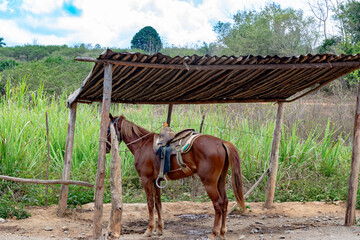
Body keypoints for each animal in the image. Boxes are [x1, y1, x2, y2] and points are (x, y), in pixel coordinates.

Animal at [106, 115, 245, 239]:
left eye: (108, 128)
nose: (107, 148)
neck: (142, 144)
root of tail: (222, 142)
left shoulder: (146, 179)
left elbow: (150, 203)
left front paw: (149, 230)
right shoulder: (156, 180)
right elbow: (158, 203)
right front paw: (159, 229)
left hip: (209, 183)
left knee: (218, 204)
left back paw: (213, 233)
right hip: (220, 180)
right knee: (225, 202)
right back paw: (222, 233)